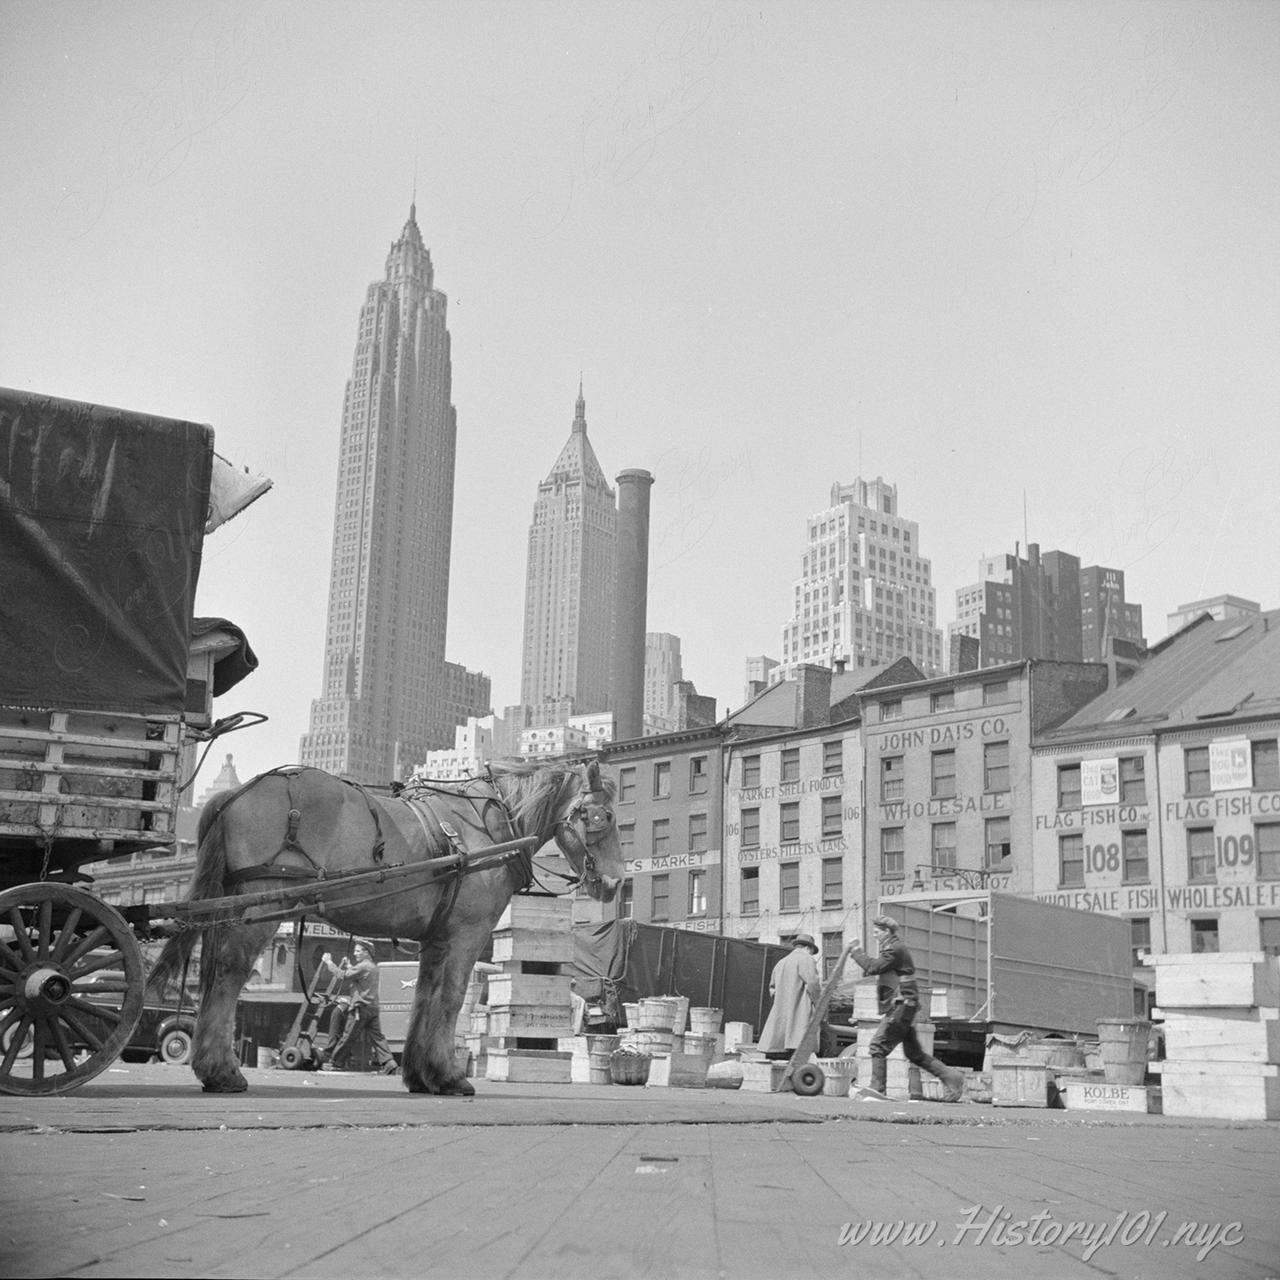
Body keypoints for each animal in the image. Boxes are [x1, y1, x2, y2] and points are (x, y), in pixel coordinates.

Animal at [152, 752, 622, 1095]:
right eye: (602, 817)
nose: (616, 882)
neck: (489, 827)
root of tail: (236, 793)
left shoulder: (437, 939)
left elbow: (426, 999)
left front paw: (422, 1075)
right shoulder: (466, 935)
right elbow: (451, 999)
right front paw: (450, 1076)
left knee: (214, 975)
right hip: (260, 907)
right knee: (228, 977)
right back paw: (222, 1071)